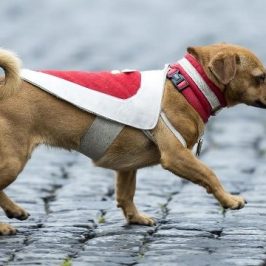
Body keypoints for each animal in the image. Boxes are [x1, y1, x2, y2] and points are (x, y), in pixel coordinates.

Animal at [0, 43, 266, 235]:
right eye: (261, 77)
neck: (186, 86)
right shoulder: (176, 156)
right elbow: (210, 174)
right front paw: (229, 200)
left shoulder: (126, 167)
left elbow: (125, 194)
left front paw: (135, 218)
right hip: (14, 160)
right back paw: (6, 223)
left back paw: (14, 212)